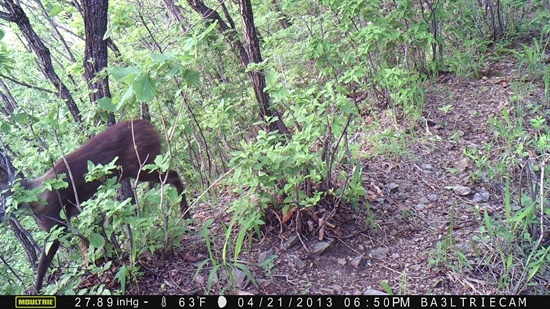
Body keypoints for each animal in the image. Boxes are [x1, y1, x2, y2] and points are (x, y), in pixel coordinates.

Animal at [0, 119, 189, 292]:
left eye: (2, 197)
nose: (2, 214)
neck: (37, 197)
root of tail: (148, 125)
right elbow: (92, 239)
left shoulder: (56, 222)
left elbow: (44, 262)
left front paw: (38, 290)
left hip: (141, 163)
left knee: (173, 175)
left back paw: (186, 216)